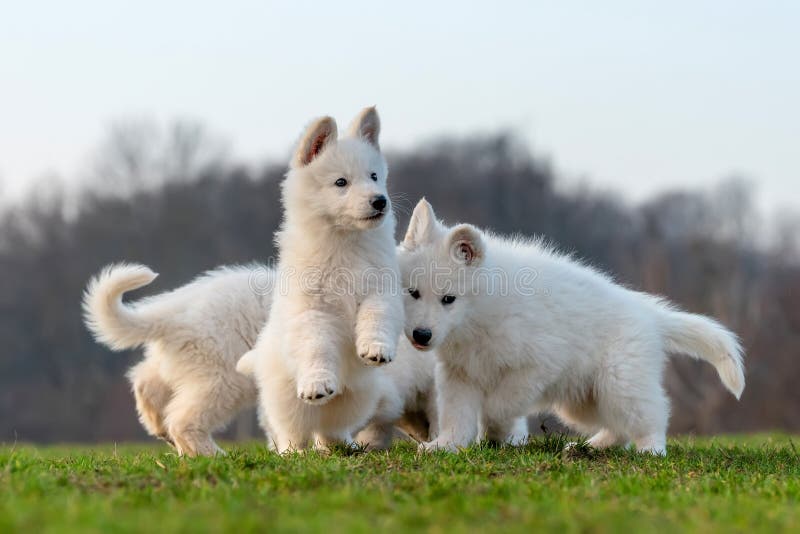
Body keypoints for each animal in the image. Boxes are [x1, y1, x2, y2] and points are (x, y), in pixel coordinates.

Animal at [82, 264, 438, 456]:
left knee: (144, 381)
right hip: (223, 377)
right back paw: (211, 454)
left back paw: (161, 429)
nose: (425, 434)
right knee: (183, 418)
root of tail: (175, 311)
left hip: (183, 363)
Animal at [244, 108, 406, 452]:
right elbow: (317, 345)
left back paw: (342, 445)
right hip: (285, 400)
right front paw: (317, 381)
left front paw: (375, 348)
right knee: (294, 431)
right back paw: (292, 451)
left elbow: (377, 316)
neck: (345, 242)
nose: (380, 201)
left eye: (374, 176)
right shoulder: (312, 309)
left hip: (358, 396)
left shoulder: (381, 290)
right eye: (341, 182)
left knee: (332, 429)